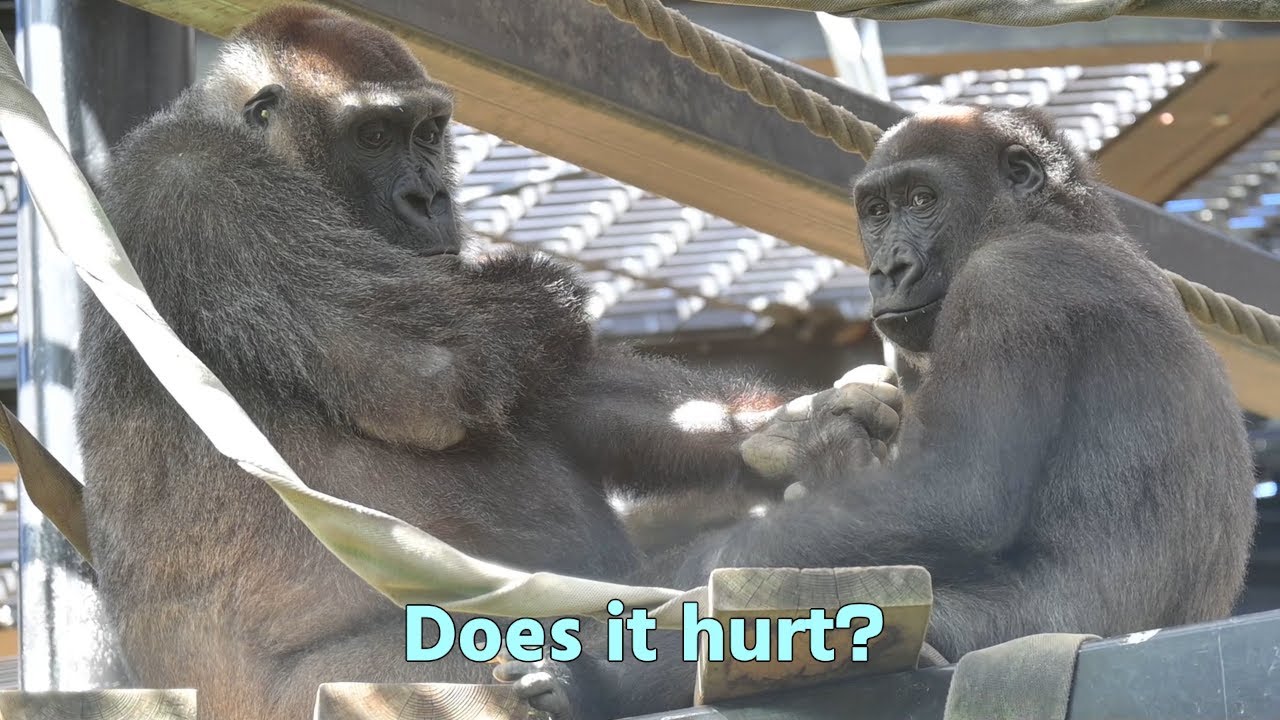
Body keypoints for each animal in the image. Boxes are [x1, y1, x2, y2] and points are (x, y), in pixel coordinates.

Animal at [74, 6, 900, 720]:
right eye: (373, 134)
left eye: (428, 130)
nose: (430, 195)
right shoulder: (204, 184)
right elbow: (439, 368)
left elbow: (562, 394)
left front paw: (798, 428)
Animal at [496, 104, 1260, 719]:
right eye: (876, 211)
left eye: (922, 198)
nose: (886, 269)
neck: (1056, 220)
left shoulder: (1008, 286)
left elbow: (953, 492)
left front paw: (689, 577)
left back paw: (591, 681)